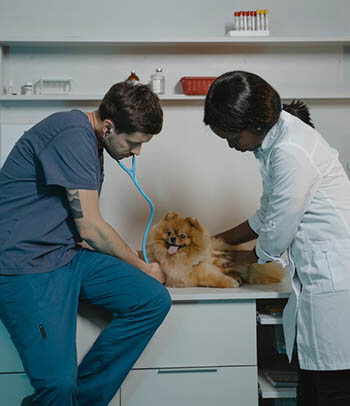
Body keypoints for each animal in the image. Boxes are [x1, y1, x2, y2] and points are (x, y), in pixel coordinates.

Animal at [146, 213, 284, 288]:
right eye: (169, 233)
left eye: (183, 235)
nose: (173, 238)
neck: (181, 258)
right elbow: (211, 279)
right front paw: (232, 282)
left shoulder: (206, 267)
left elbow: (216, 278)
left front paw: (231, 283)